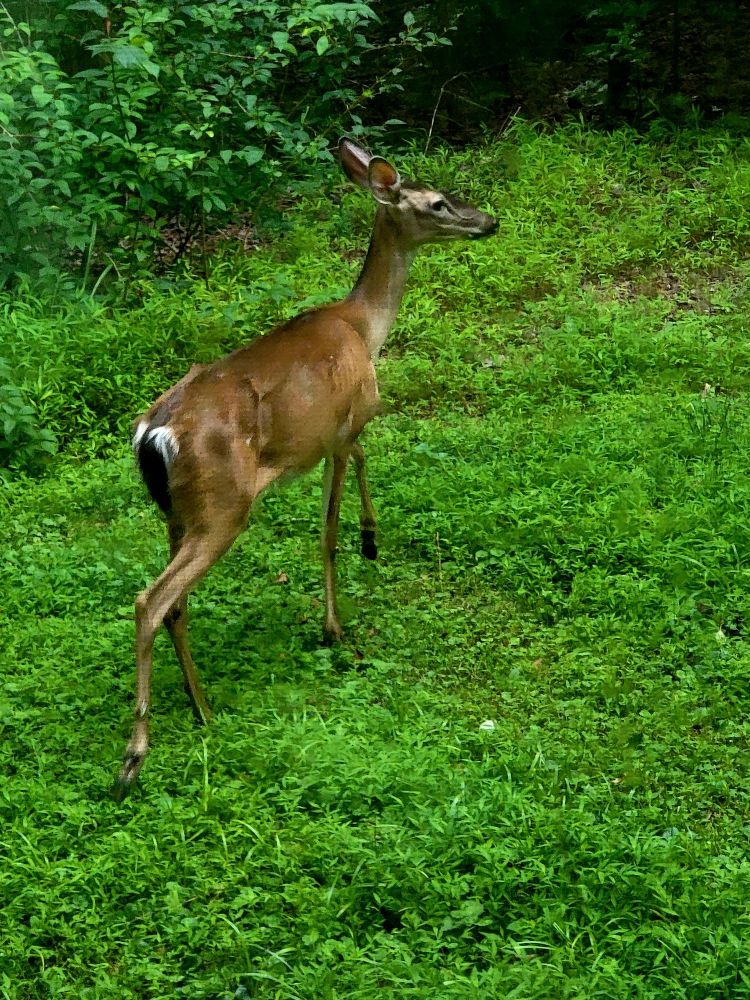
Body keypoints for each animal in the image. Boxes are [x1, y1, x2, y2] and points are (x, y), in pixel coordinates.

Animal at [113, 137, 498, 798]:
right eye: (438, 203)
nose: (488, 221)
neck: (364, 328)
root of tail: (154, 431)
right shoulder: (343, 425)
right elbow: (327, 532)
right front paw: (334, 625)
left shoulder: (339, 429)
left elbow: (364, 466)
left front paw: (373, 537)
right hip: (223, 506)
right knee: (151, 601)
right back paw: (136, 755)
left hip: (175, 511)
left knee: (176, 605)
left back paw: (202, 707)